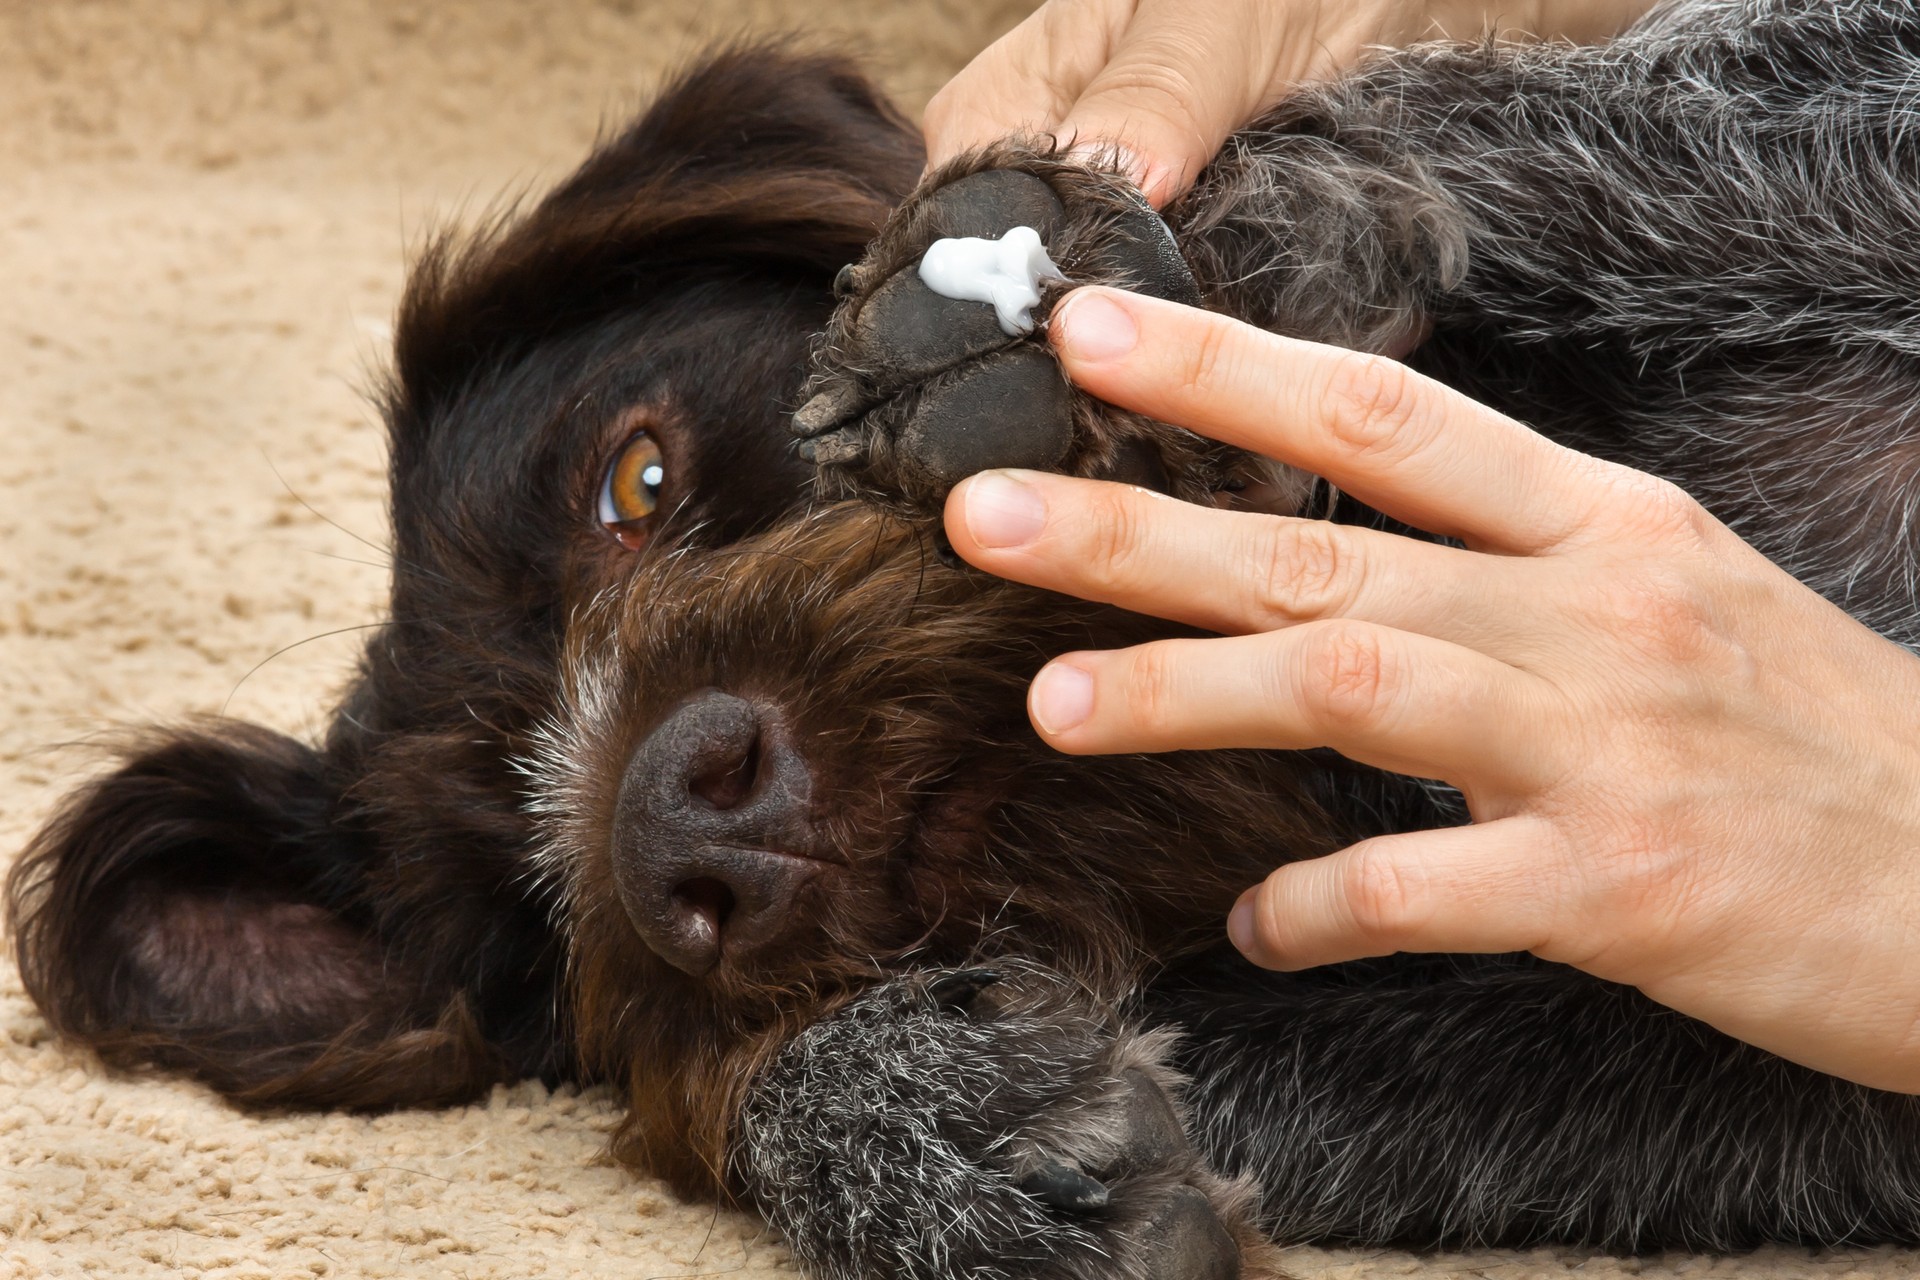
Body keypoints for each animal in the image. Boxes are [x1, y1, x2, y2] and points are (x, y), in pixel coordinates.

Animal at [11, 5, 1920, 1274]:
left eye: (638, 481)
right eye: (537, 939)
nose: (678, 826)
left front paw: (1182, 263)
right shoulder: (1740, 1077)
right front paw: (921, 1128)